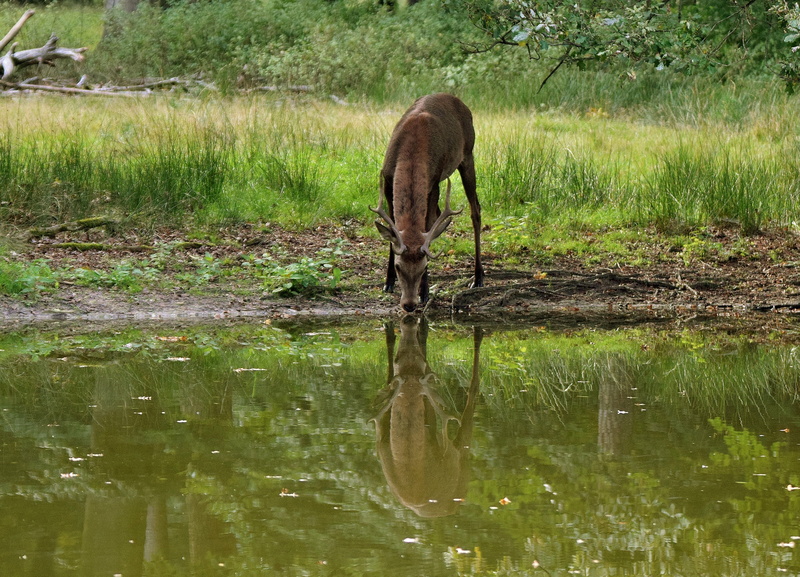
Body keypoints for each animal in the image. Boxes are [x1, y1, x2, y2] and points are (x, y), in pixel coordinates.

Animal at [372, 93, 484, 312]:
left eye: (424, 266)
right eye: (398, 266)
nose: (409, 304)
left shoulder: (434, 182)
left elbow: (427, 226)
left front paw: (425, 292)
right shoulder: (387, 179)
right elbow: (392, 228)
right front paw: (388, 282)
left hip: (468, 155)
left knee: (475, 210)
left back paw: (478, 277)